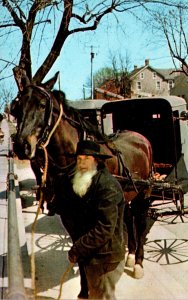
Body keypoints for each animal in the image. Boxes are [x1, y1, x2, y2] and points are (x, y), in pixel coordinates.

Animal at [11, 73, 153, 298]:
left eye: (42, 105)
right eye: (17, 107)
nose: (21, 145)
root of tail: (140, 138)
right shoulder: (70, 217)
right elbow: (80, 249)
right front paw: (84, 290)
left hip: (144, 194)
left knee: (139, 223)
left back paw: (138, 262)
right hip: (129, 195)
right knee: (129, 219)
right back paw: (130, 256)